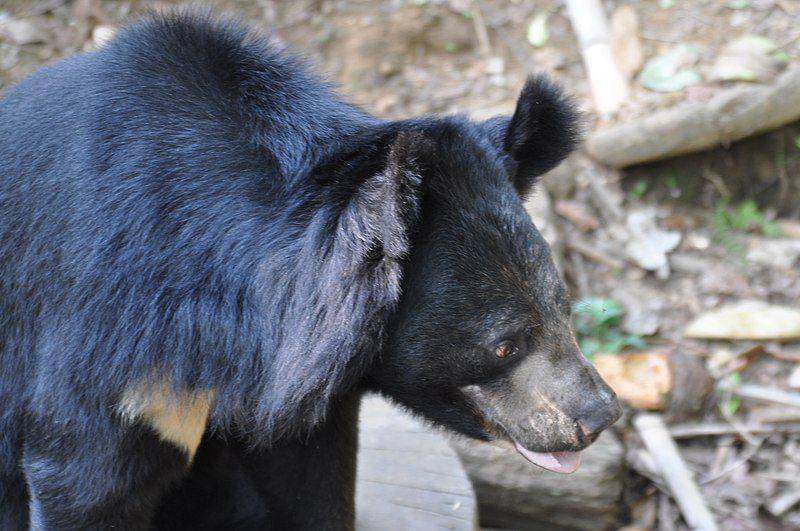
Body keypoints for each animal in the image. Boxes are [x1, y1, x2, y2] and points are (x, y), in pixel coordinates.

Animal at [0, 11, 622, 530]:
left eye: (563, 308)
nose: (599, 416)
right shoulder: (112, 348)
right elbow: (88, 480)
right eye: (503, 343)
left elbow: (311, 482)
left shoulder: (302, 403)